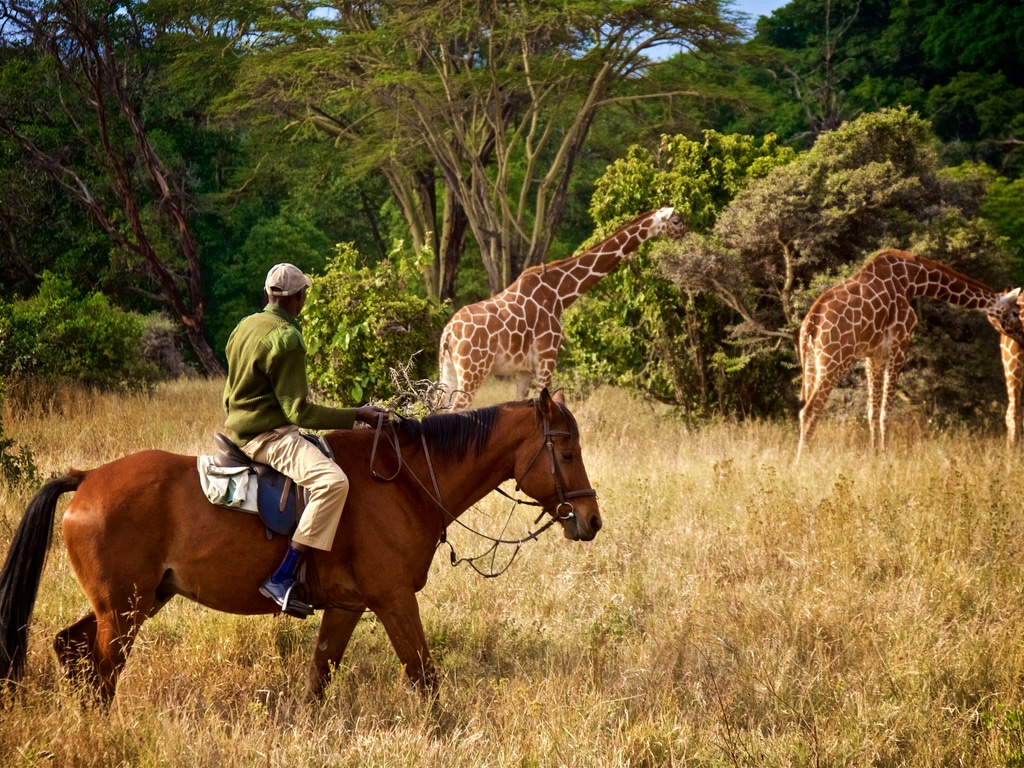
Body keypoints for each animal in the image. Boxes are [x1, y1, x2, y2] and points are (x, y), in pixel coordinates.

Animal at [0, 391, 598, 704]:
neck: (406, 482)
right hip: (123, 610)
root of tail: (88, 478)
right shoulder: (394, 599)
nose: (591, 520)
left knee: (71, 649)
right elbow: (423, 675)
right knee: (101, 672)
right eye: (567, 451)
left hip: (134, 602)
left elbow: (319, 675)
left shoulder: (348, 606)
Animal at [440, 204, 688, 409]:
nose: (690, 235)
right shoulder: (547, 360)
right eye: (676, 221)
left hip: (448, 369)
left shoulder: (523, 370)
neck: (559, 294)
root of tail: (449, 332)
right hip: (474, 369)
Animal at [798, 249, 1024, 460]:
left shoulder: (874, 355)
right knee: (809, 410)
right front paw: (885, 455)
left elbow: (872, 411)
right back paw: (801, 463)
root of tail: (810, 323)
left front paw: (874, 454)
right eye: (1015, 312)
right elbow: (886, 412)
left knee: (805, 408)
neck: (913, 280)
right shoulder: (899, 344)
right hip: (835, 360)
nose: (1022, 336)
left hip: (810, 363)